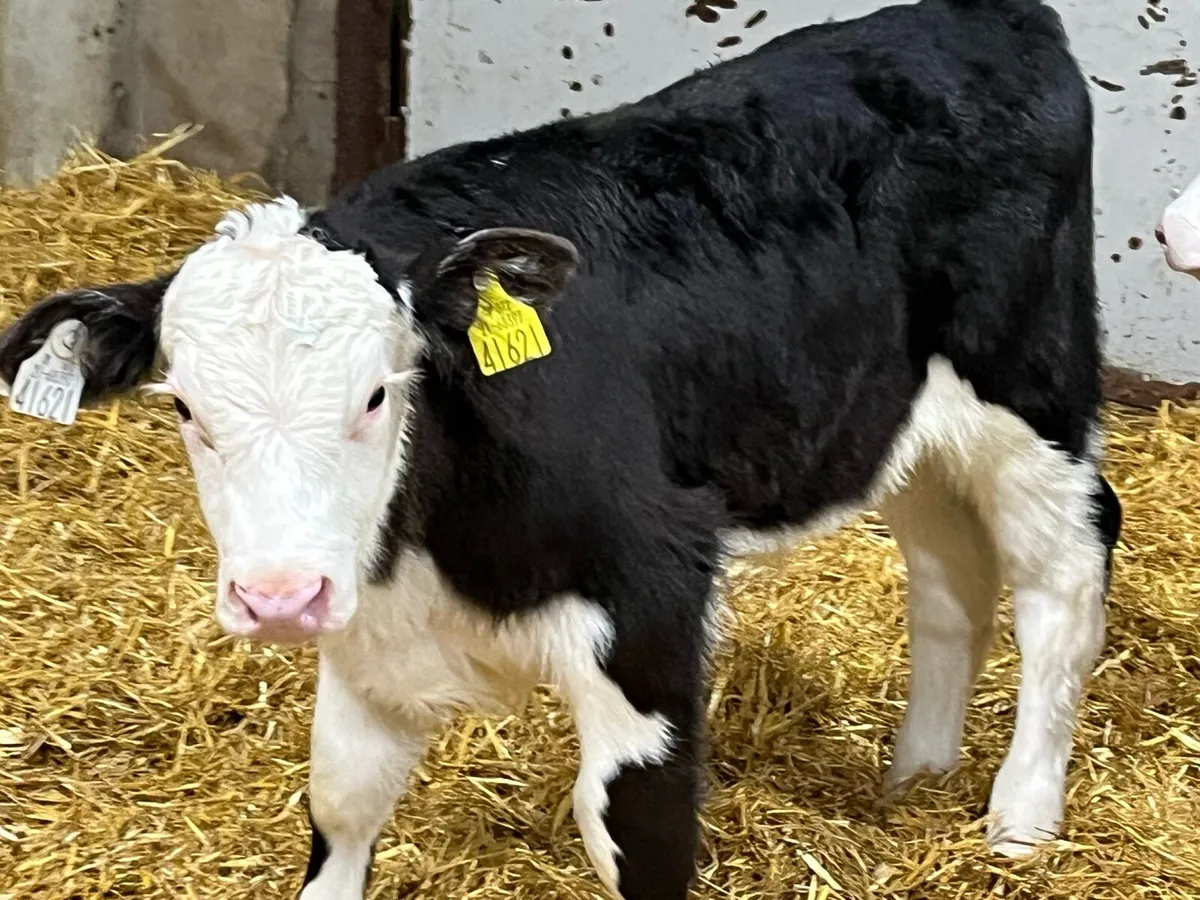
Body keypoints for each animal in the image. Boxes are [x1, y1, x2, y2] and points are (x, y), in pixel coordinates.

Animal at [0, 1, 1122, 897]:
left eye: (378, 394)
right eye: (185, 408)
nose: (280, 596)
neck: (434, 534)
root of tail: (980, 15)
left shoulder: (652, 597)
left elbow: (634, 828)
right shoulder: (369, 636)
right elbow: (341, 805)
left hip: (1031, 394)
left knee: (1062, 571)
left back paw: (1020, 815)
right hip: (892, 424)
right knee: (948, 573)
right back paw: (917, 776)